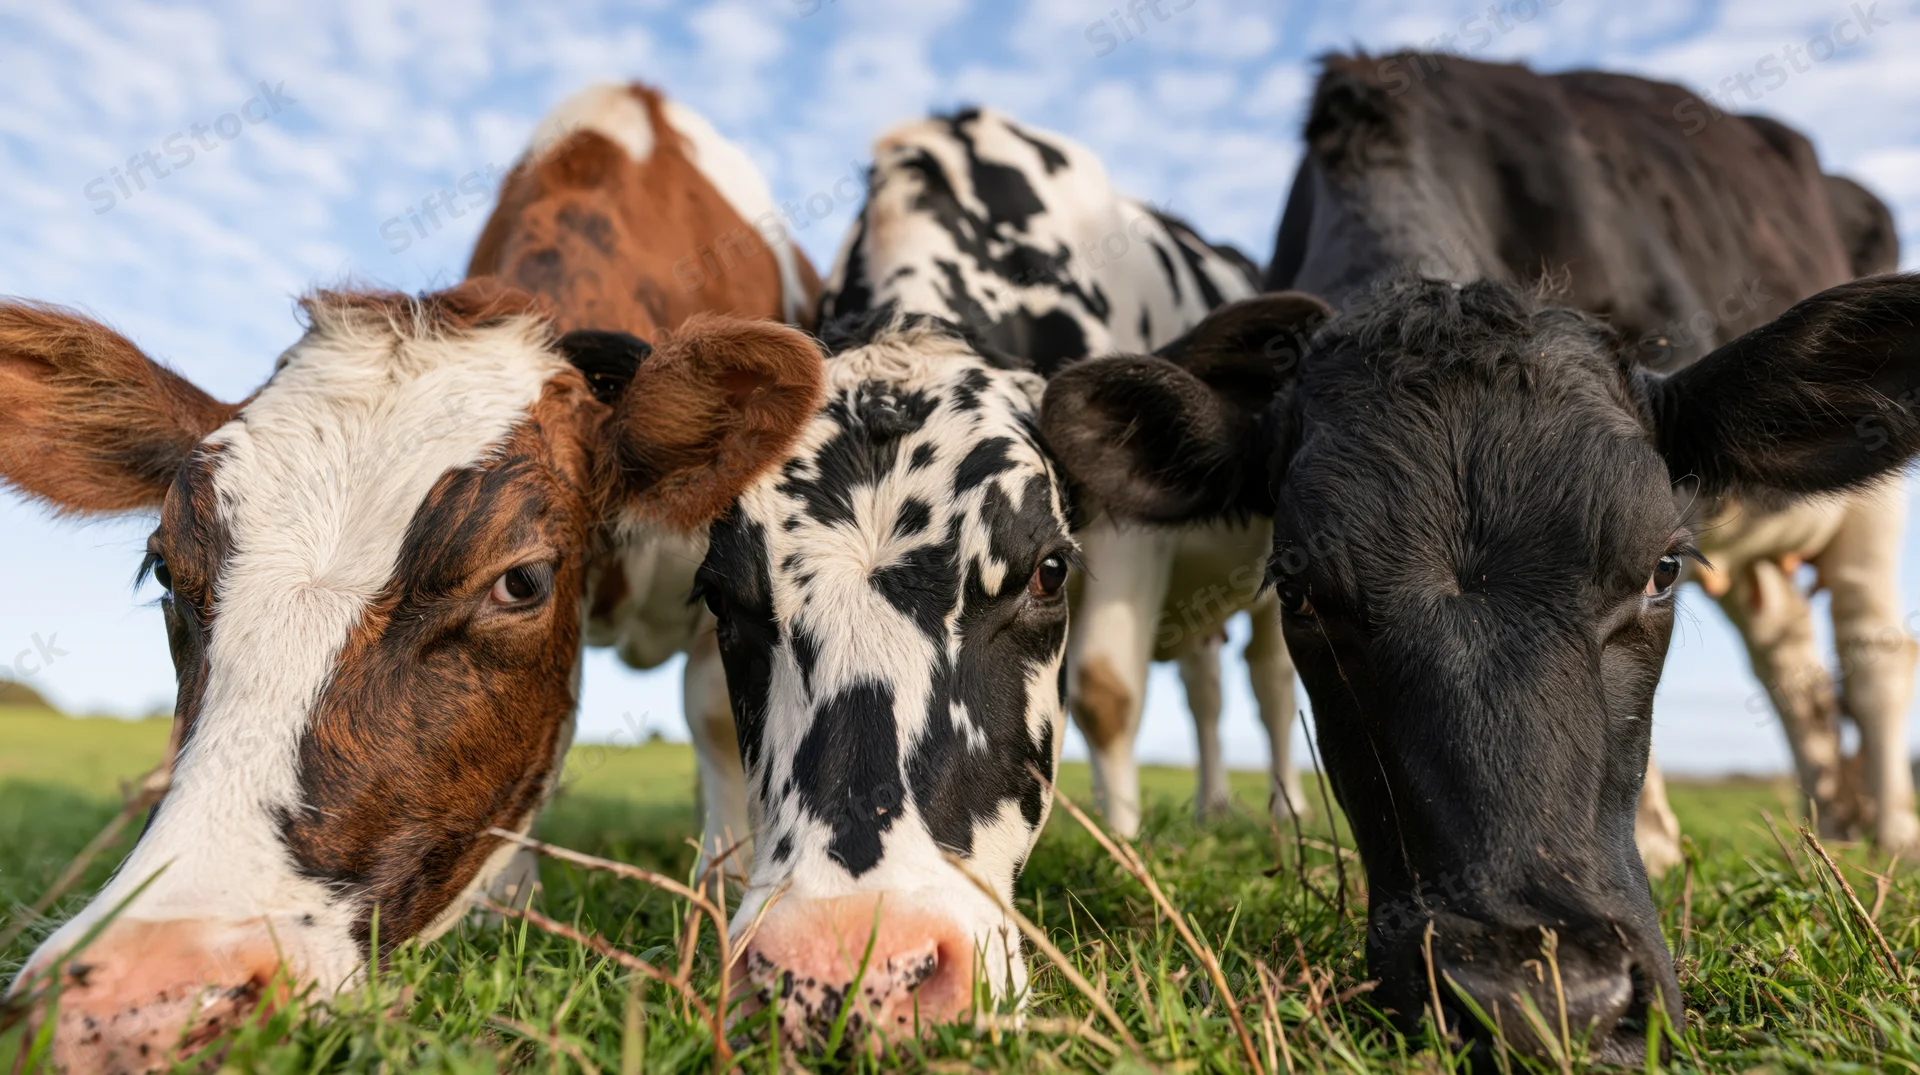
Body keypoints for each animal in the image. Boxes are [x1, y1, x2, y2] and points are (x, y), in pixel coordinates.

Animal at [819, 106, 1301, 838]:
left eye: (1047, 567)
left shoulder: (1128, 518)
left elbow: (1105, 689)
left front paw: (1123, 841)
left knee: (1270, 677)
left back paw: (1285, 809)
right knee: (1206, 689)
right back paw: (1210, 808)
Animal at [1037, 52, 1920, 1061]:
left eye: (1661, 569)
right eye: (1299, 591)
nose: (1545, 999)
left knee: (1875, 657)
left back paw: (1886, 833)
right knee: (1798, 675)